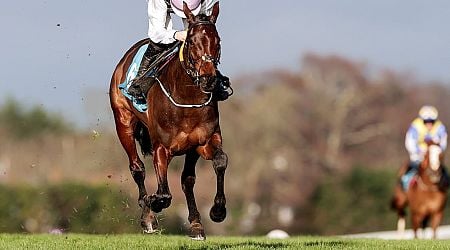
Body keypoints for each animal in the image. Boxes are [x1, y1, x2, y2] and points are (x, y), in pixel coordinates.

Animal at [108, 2, 227, 240]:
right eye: (191, 42)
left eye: (218, 41)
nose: (209, 79)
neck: (187, 100)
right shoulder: (161, 148)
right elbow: (164, 194)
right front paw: (153, 202)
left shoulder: (203, 142)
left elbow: (218, 162)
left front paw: (216, 212)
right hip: (123, 123)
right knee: (137, 168)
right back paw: (148, 218)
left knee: (187, 180)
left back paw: (196, 224)